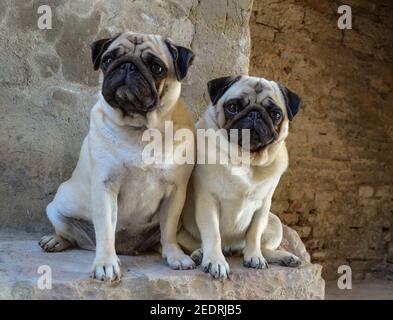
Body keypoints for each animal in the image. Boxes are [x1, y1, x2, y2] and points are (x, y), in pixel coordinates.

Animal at [39, 32, 195, 282]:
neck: (141, 130)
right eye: (108, 59)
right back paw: (55, 240)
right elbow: (104, 229)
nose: (127, 66)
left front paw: (175, 256)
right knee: (70, 235)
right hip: (56, 210)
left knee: (161, 238)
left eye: (157, 67)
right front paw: (105, 263)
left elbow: (168, 230)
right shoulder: (106, 186)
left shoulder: (176, 191)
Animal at [178, 75, 304, 278]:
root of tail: (230, 249)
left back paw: (282, 256)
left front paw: (255, 257)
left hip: (275, 222)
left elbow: (254, 233)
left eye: (275, 114)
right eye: (233, 107)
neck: (245, 159)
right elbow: (213, 234)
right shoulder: (207, 200)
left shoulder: (263, 205)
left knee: (254, 246)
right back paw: (200, 254)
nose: (255, 114)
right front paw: (215, 261)